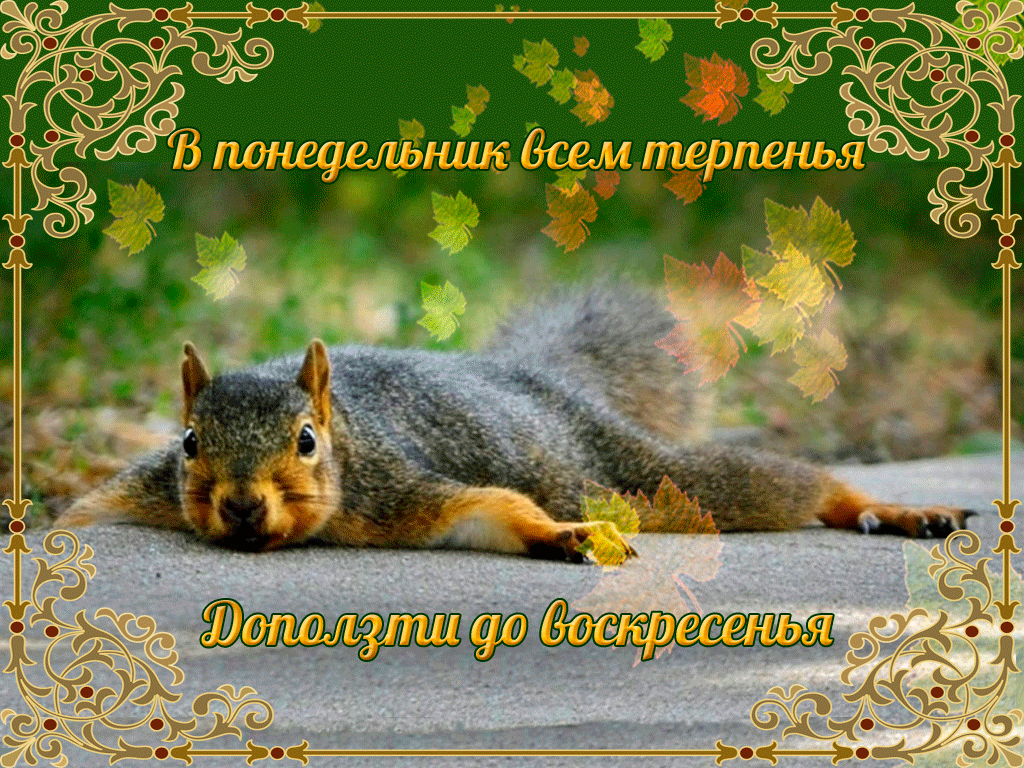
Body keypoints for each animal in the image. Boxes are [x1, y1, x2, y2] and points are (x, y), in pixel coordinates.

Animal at [56, 287, 973, 560]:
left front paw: (561, 535)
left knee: (786, 487)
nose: (242, 506)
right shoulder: (137, 493)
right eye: (188, 443)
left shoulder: (395, 492)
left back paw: (893, 509)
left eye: (307, 442)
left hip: (642, 475)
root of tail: (537, 377)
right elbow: (84, 516)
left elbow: (487, 506)